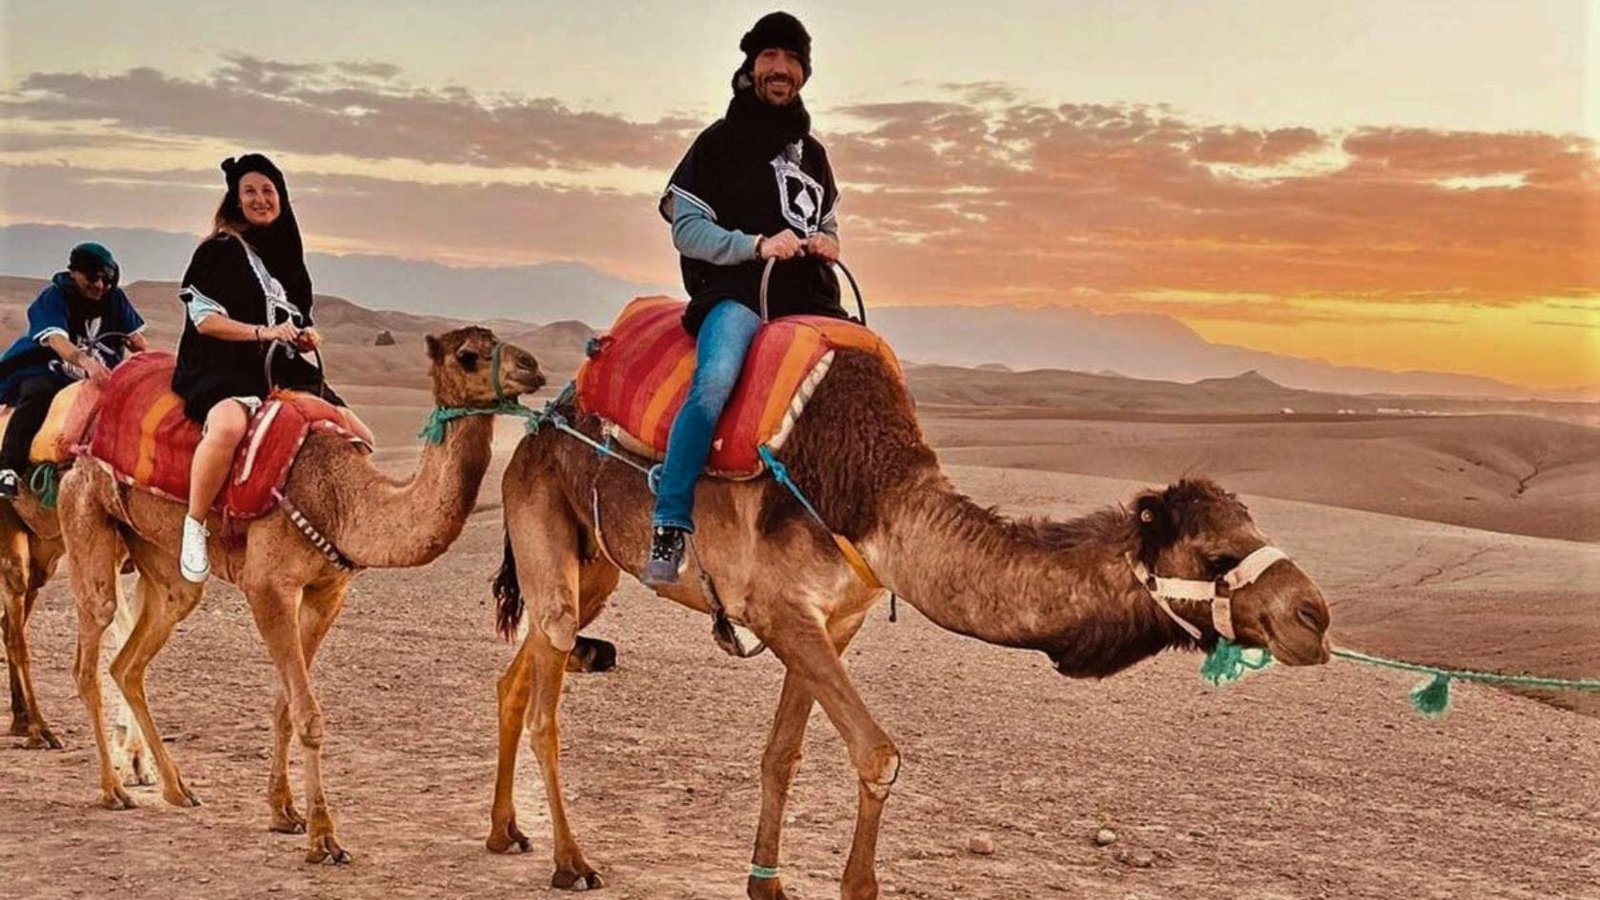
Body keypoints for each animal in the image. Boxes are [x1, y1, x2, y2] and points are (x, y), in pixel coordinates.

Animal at [57, 326, 545, 865]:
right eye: (468, 355)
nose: (532, 368)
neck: (341, 498)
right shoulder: (267, 587)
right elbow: (307, 712)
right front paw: (324, 837)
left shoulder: (327, 591)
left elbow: (284, 703)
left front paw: (284, 812)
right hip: (85, 514)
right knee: (90, 654)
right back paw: (113, 789)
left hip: (165, 567)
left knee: (131, 660)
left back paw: (177, 788)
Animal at [488, 347, 1333, 898]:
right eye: (1220, 553)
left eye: (1252, 525)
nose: (1314, 615)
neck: (879, 501)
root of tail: (541, 424)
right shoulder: (781, 611)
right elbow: (877, 755)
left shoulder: (836, 620)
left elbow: (782, 755)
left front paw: (767, 885)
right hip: (545, 531)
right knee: (547, 697)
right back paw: (570, 863)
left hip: (594, 562)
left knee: (516, 678)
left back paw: (504, 833)